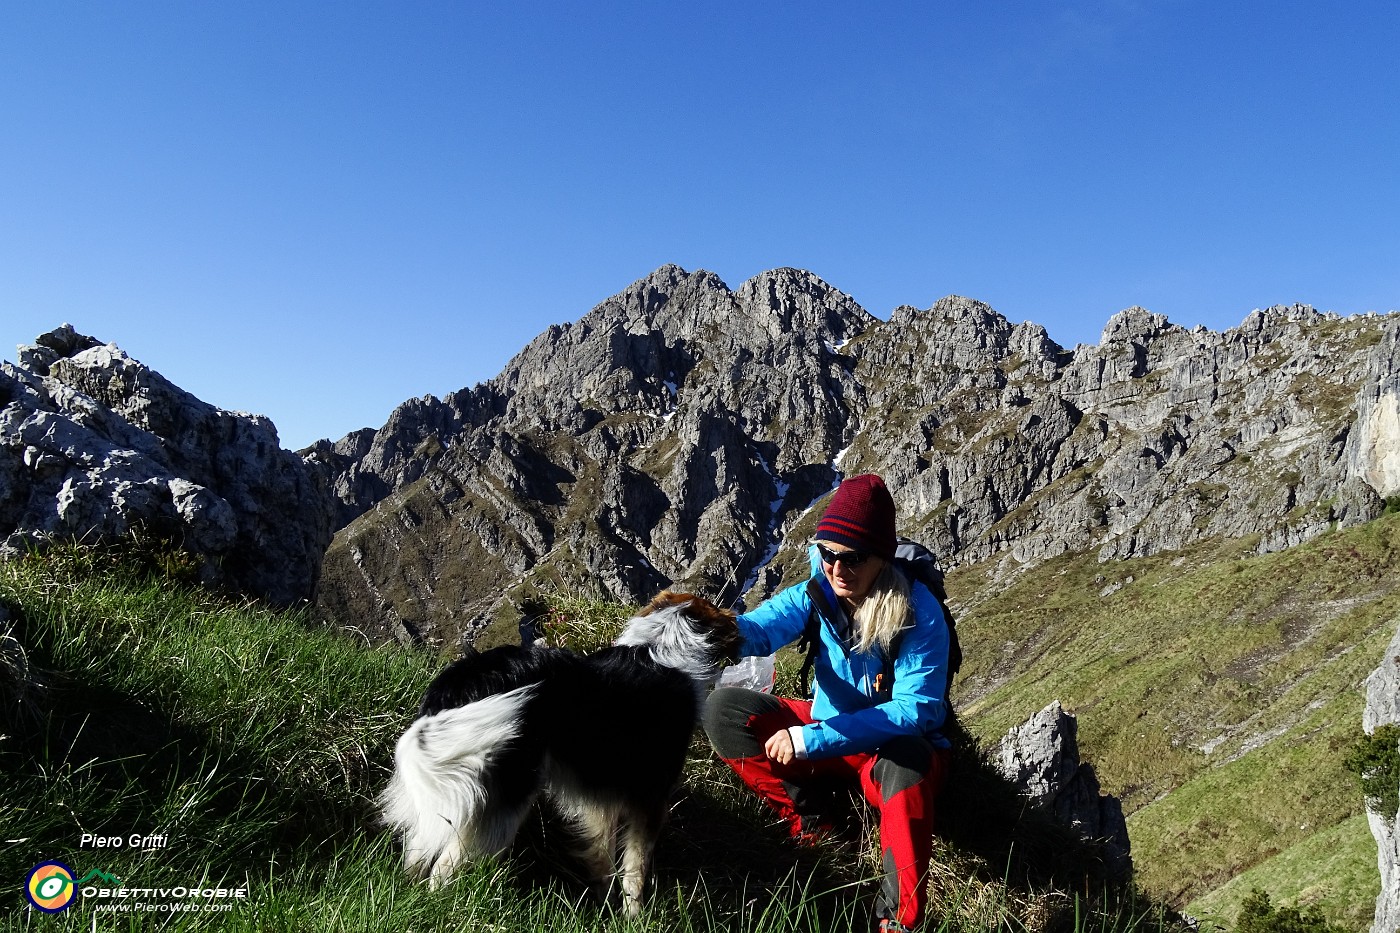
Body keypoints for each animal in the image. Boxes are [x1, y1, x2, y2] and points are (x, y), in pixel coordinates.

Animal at [378, 591, 739, 913]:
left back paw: (409, 893)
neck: (661, 645)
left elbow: (602, 854)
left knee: (419, 849)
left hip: (452, 782)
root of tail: (463, 681)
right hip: (504, 797)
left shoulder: (600, 800)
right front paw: (632, 916)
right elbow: (635, 869)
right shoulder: (650, 799)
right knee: (445, 865)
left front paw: (603, 904)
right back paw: (447, 905)